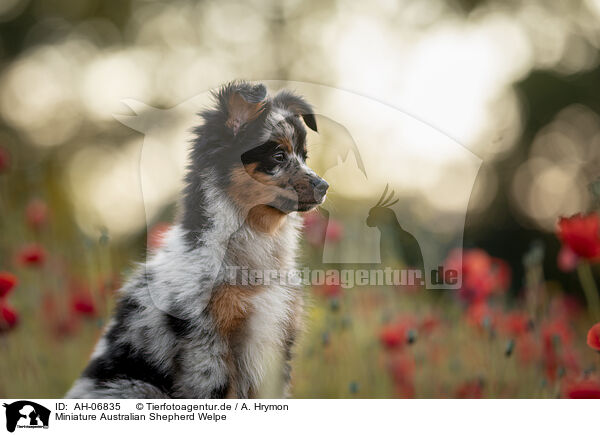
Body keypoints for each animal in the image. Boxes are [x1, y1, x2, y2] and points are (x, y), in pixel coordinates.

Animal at [68, 82, 330, 398]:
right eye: (278, 155)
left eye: (304, 156)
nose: (324, 186)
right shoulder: (205, 346)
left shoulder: (275, 343)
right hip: (137, 387)